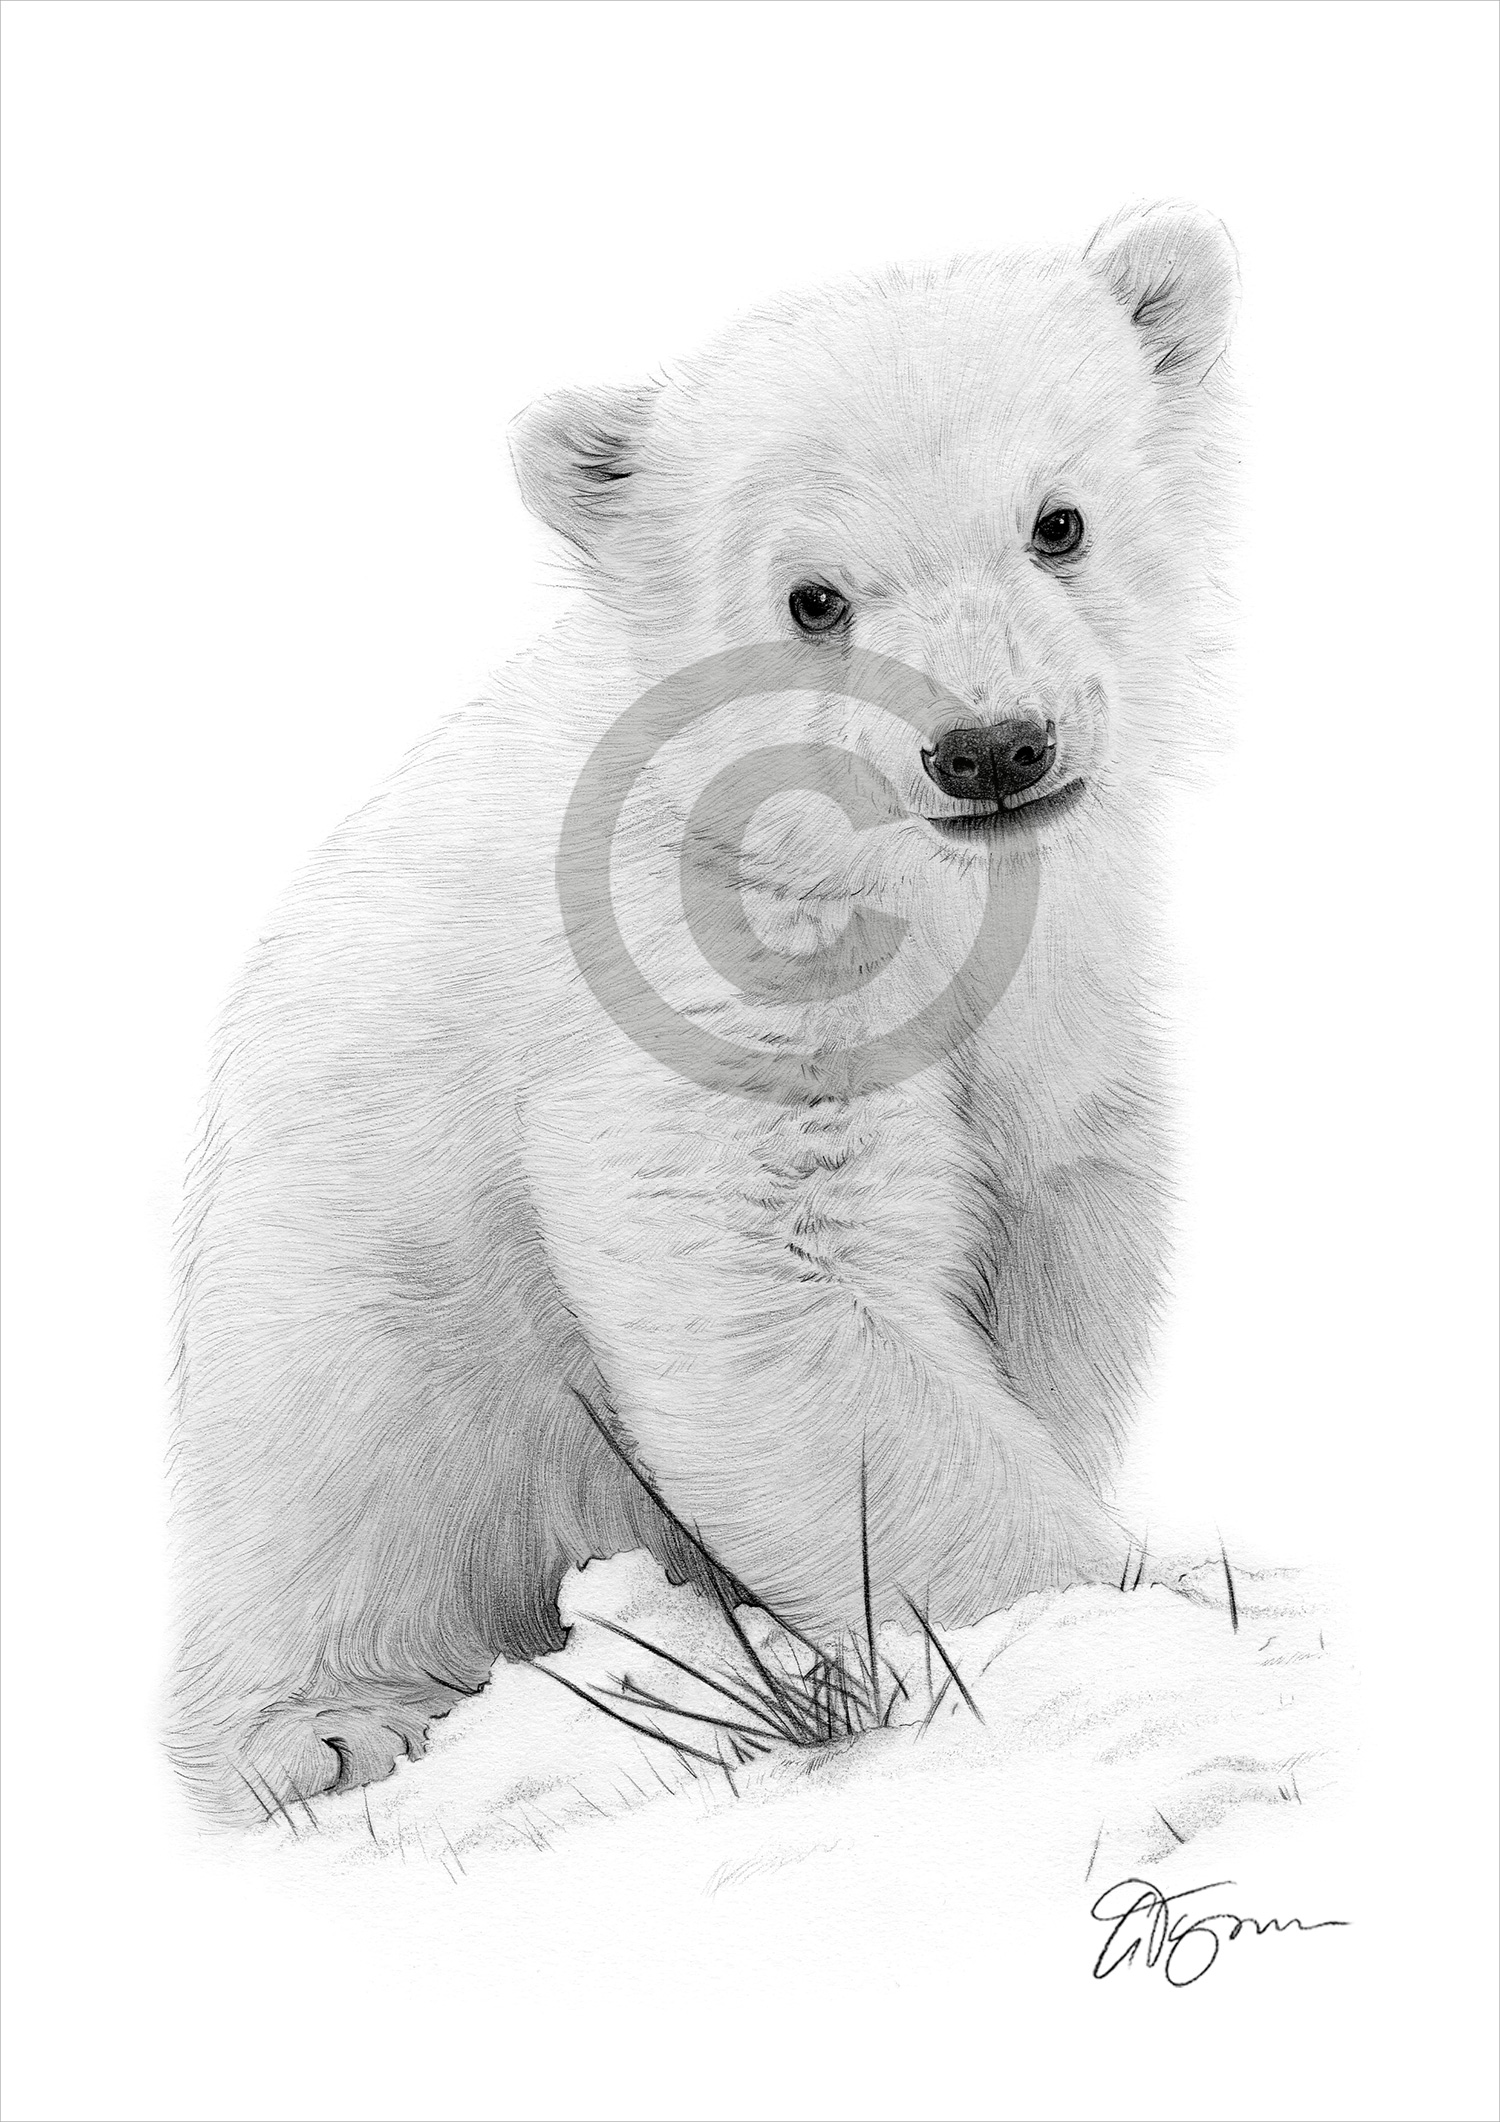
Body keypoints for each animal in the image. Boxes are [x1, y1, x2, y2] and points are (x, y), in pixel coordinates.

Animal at [167, 202, 1239, 1821]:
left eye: (1059, 520)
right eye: (814, 596)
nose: (992, 747)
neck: (894, 881)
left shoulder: (1072, 988)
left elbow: (1060, 1222)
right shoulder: (699, 970)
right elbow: (777, 1289)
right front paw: (1120, 1608)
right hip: (342, 1294)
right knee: (335, 1475)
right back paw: (327, 1724)